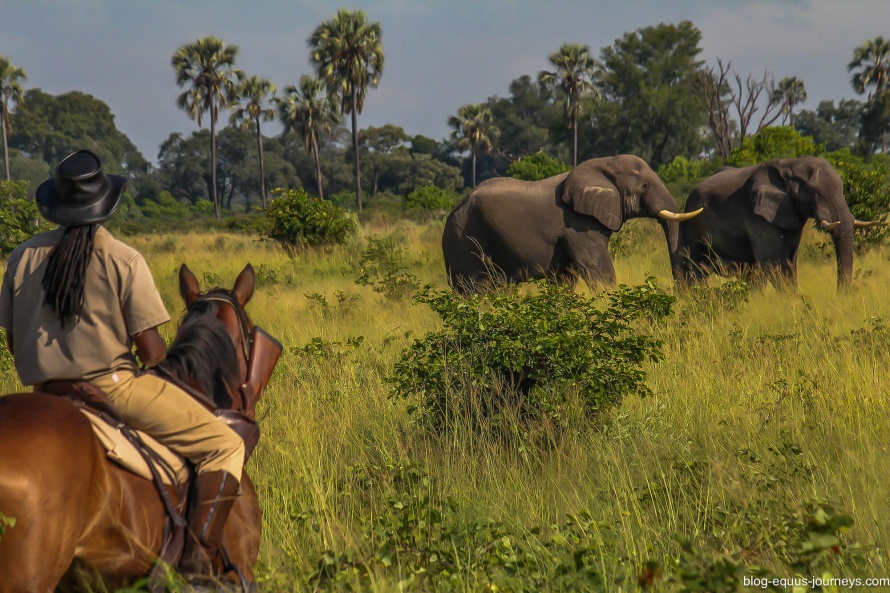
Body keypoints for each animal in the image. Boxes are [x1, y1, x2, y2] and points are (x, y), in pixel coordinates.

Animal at [438, 153, 700, 292]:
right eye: (644, 186)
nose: (681, 291)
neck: (602, 164)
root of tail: (452, 212)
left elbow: (565, 278)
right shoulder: (578, 225)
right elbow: (597, 270)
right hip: (466, 240)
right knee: (478, 290)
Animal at [668, 154, 876, 290]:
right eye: (813, 192)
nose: (841, 295)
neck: (790, 166)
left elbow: (790, 262)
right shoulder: (758, 217)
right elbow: (774, 264)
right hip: (692, 224)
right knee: (696, 271)